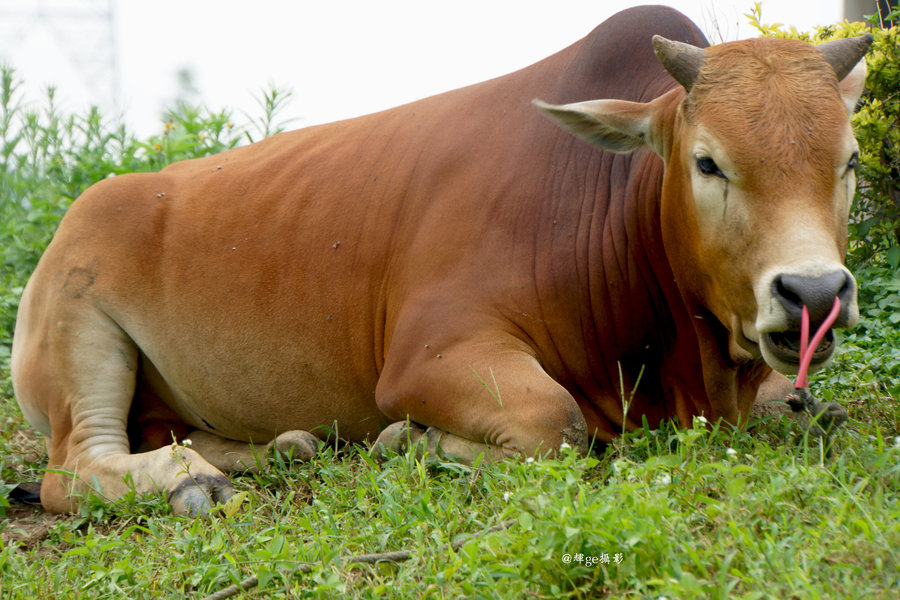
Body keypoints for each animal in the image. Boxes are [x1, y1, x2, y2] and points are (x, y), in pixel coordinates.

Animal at [10, 5, 872, 516]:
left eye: (851, 160)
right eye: (707, 162)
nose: (813, 292)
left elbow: (806, 405)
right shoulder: (431, 354)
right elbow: (555, 422)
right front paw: (411, 441)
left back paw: (278, 449)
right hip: (79, 332)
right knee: (70, 472)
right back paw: (188, 478)